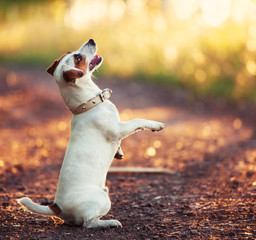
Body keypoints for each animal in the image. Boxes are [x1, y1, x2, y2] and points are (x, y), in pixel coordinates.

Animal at [18, 38, 166, 228]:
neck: (88, 104)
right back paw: (109, 222)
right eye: (78, 57)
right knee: (88, 223)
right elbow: (137, 121)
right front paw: (156, 125)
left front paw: (119, 152)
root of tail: (57, 207)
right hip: (103, 199)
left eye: (71, 53)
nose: (91, 40)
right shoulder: (118, 129)